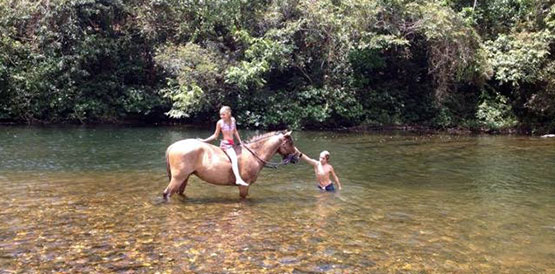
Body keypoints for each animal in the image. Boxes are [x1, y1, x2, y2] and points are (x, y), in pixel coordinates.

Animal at [162, 130, 300, 200]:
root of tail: (172, 146)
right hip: (178, 178)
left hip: (184, 178)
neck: (254, 154)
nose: (298, 155)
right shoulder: (244, 185)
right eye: (290, 142)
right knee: (167, 193)